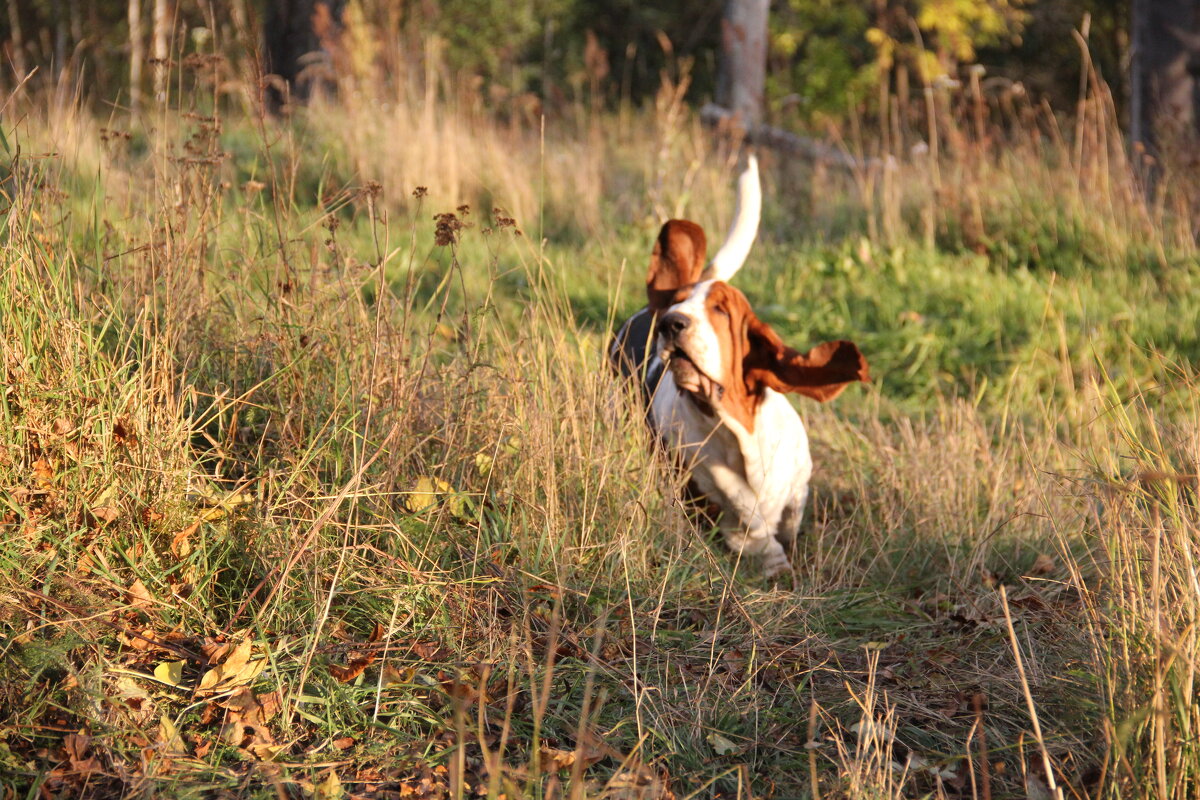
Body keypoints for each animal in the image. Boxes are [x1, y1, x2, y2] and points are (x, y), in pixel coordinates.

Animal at [614, 154, 868, 575]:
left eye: (720, 310)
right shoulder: (709, 490)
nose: (671, 323)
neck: (736, 430)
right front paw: (774, 563)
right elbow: (753, 527)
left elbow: (790, 516)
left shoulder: (798, 483)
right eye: (676, 305)